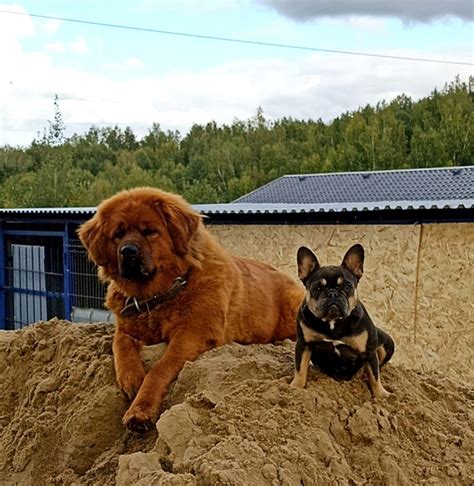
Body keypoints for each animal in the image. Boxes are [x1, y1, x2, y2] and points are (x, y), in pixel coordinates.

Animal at [78, 188, 304, 430]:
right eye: (118, 234)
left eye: (150, 232)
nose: (127, 251)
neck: (161, 295)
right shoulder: (127, 327)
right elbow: (121, 346)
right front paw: (132, 377)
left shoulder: (192, 334)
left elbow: (158, 369)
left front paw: (140, 410)